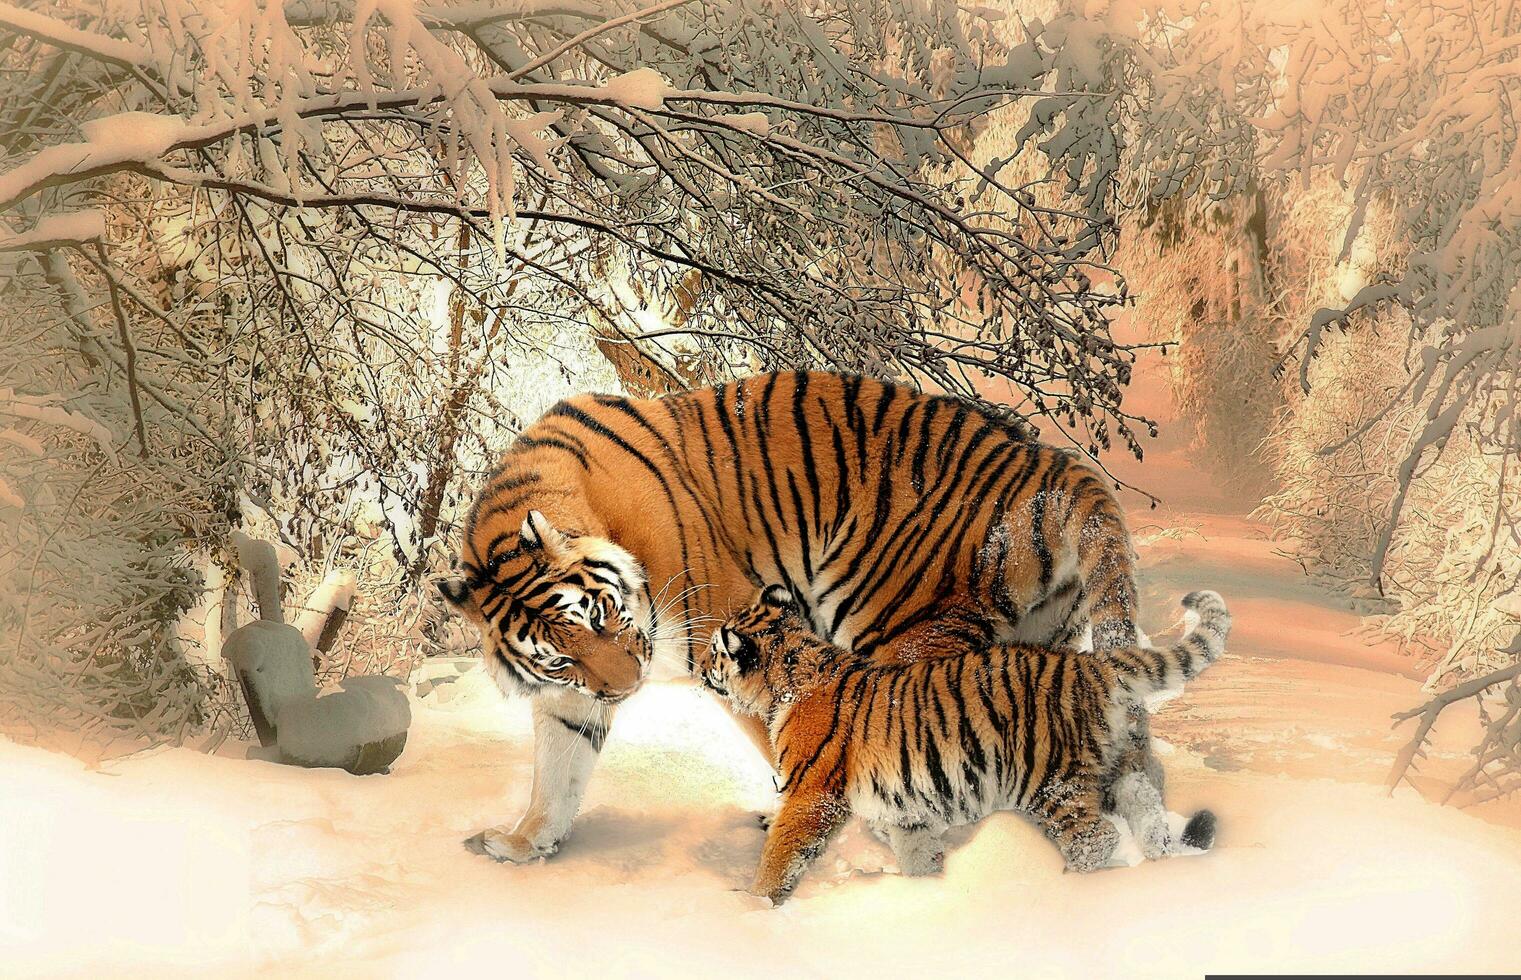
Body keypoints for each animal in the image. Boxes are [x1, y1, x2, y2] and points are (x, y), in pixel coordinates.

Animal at [444, 371, 1143, 864]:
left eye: (601, 616)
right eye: (561, 656)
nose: (628, 687)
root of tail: (1051, 464)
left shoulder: (730, 636)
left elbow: (786, 744)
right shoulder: (572, 695)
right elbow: (556, 768)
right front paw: (523, 844)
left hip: (897, 626)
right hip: (1034, 644)